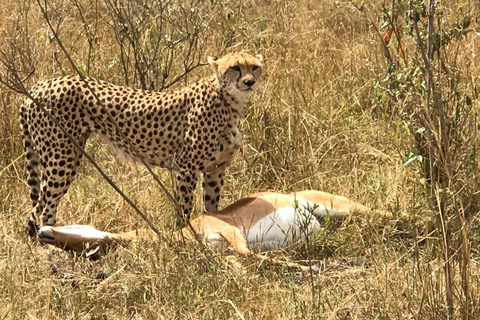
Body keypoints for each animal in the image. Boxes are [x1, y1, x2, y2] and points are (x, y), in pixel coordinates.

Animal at [19, 50, 262, 235]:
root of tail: (40, 84)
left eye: (255, 67)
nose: (250, 82)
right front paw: (184, 235)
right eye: (235, 68)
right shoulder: (187, 166)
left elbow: (212, 207)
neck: (230, 102)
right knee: (43, 209)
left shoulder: (216, 169)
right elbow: (185, 206)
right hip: (62, 158)